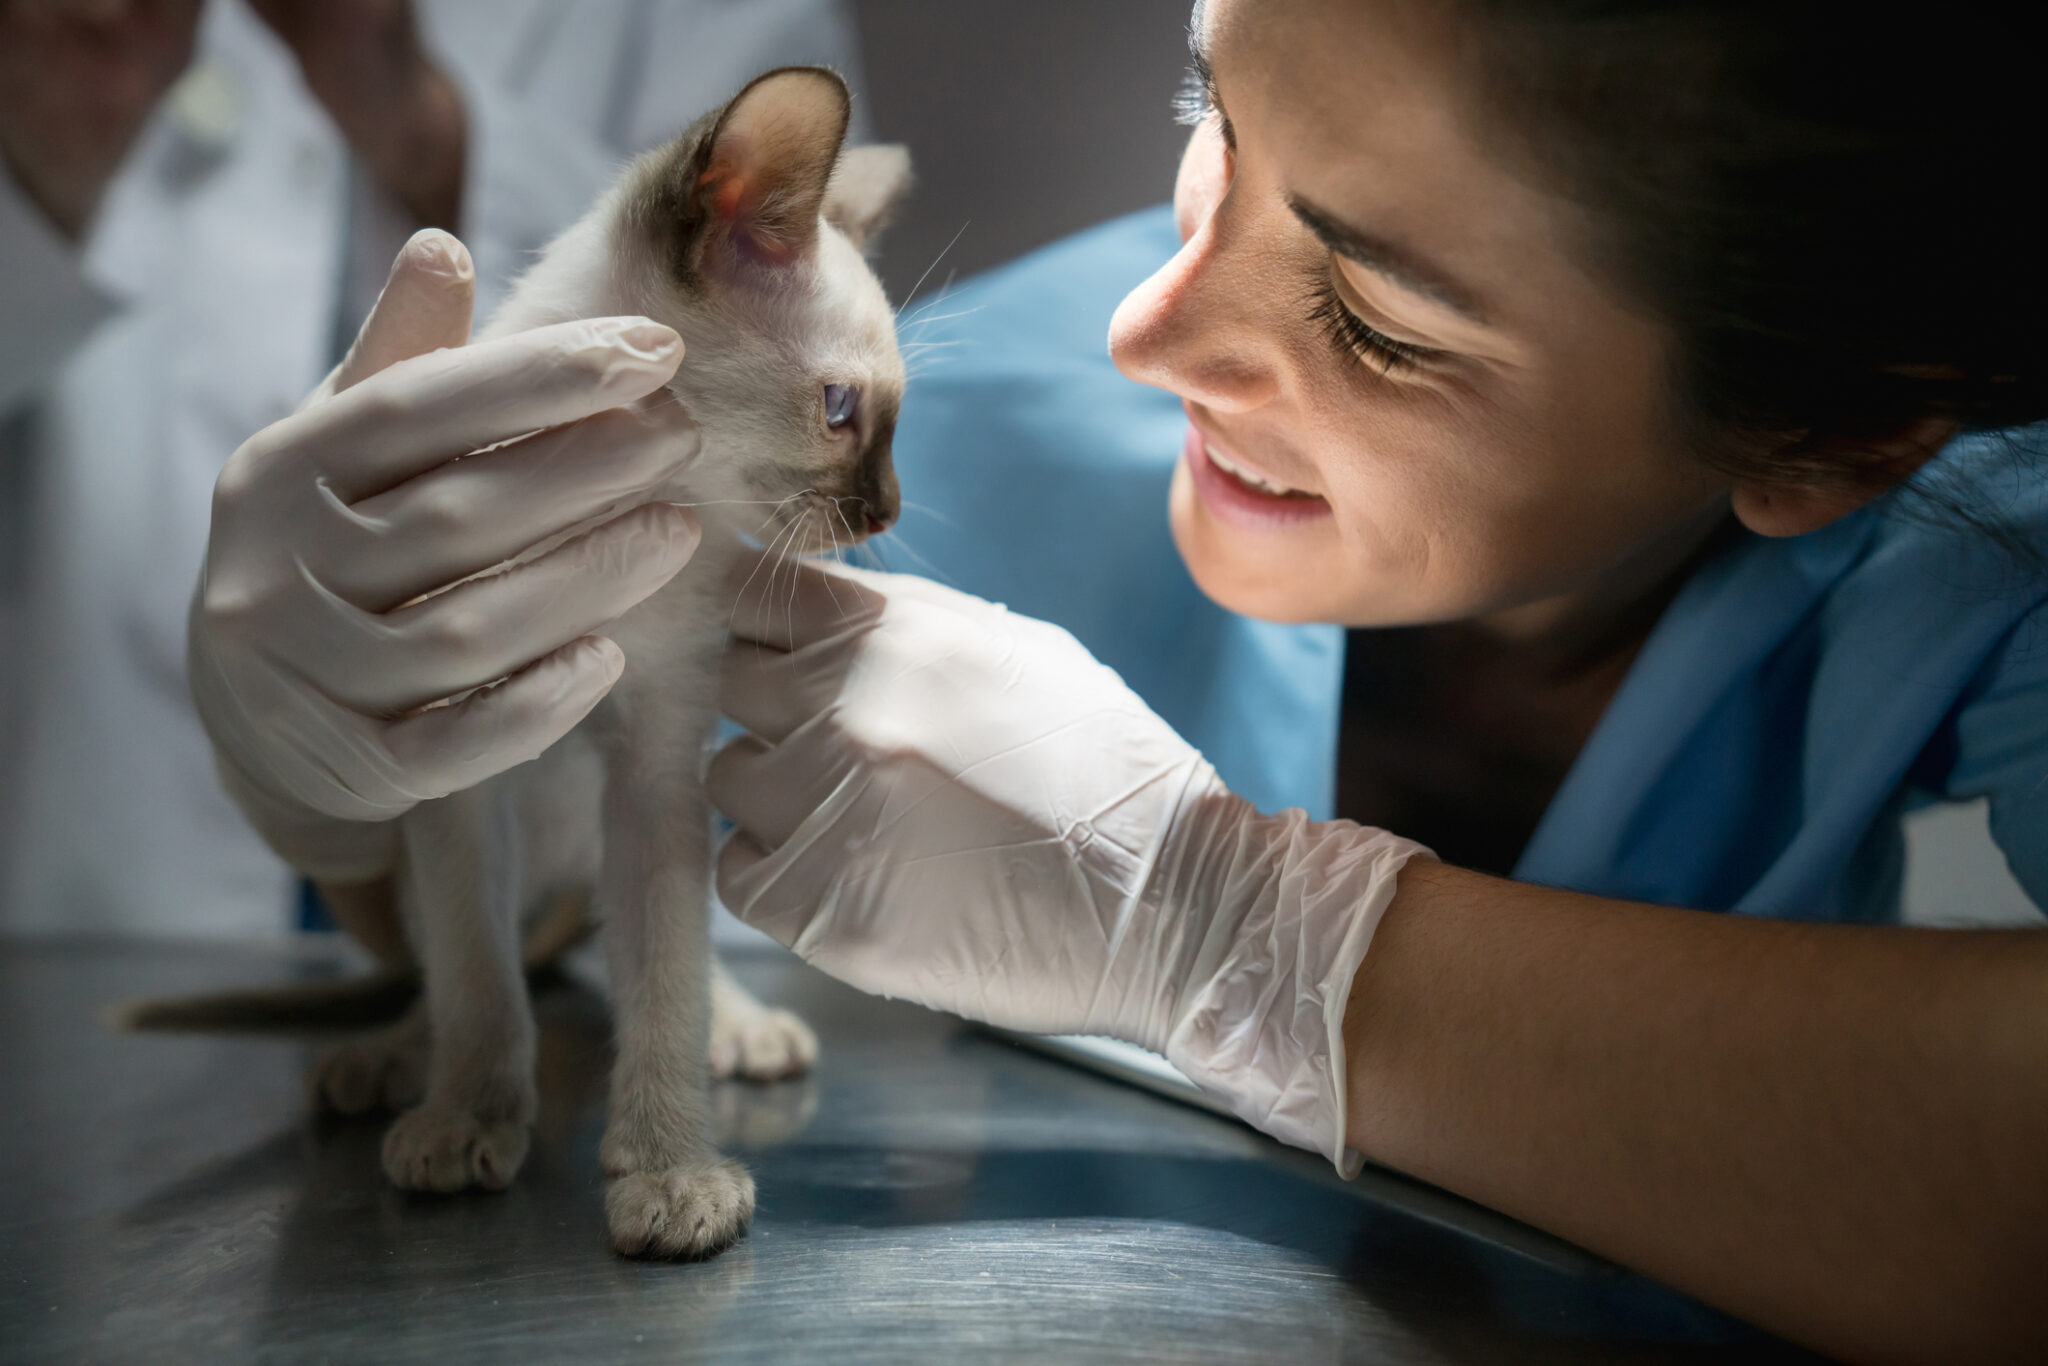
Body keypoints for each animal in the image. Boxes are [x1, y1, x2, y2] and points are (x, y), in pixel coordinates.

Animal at [342, 66, 905, 1261]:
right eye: (841, 412)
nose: (887, 510)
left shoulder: (655, 773)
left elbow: (663, 983)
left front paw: (666, 1172)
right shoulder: (458, 782)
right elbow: (476, 982)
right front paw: (470, 1117)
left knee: (652, 949)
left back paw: (743, 1029)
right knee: (470, 964)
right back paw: (391, 1062)